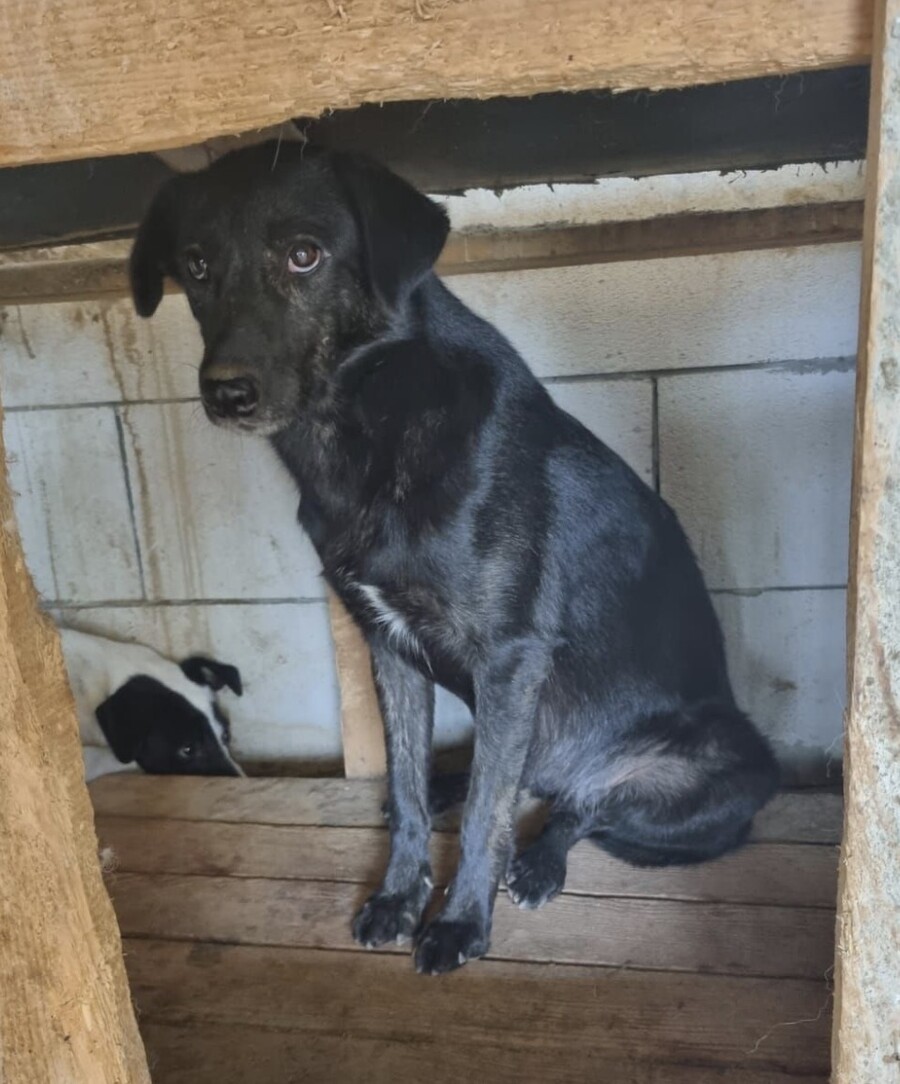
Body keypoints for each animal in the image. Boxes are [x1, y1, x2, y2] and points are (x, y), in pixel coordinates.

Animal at [130, 142, 780, 975]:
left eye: (305, 255)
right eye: (198, 265)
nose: (227, 393)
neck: (364, 436)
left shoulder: (509, 656)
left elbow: (485, 822)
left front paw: (461, 922)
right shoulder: (389, 647)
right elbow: (407, 789)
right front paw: (397, 895)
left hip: (713, 769)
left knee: (581, 807)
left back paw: (539, 863)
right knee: (514, 784)